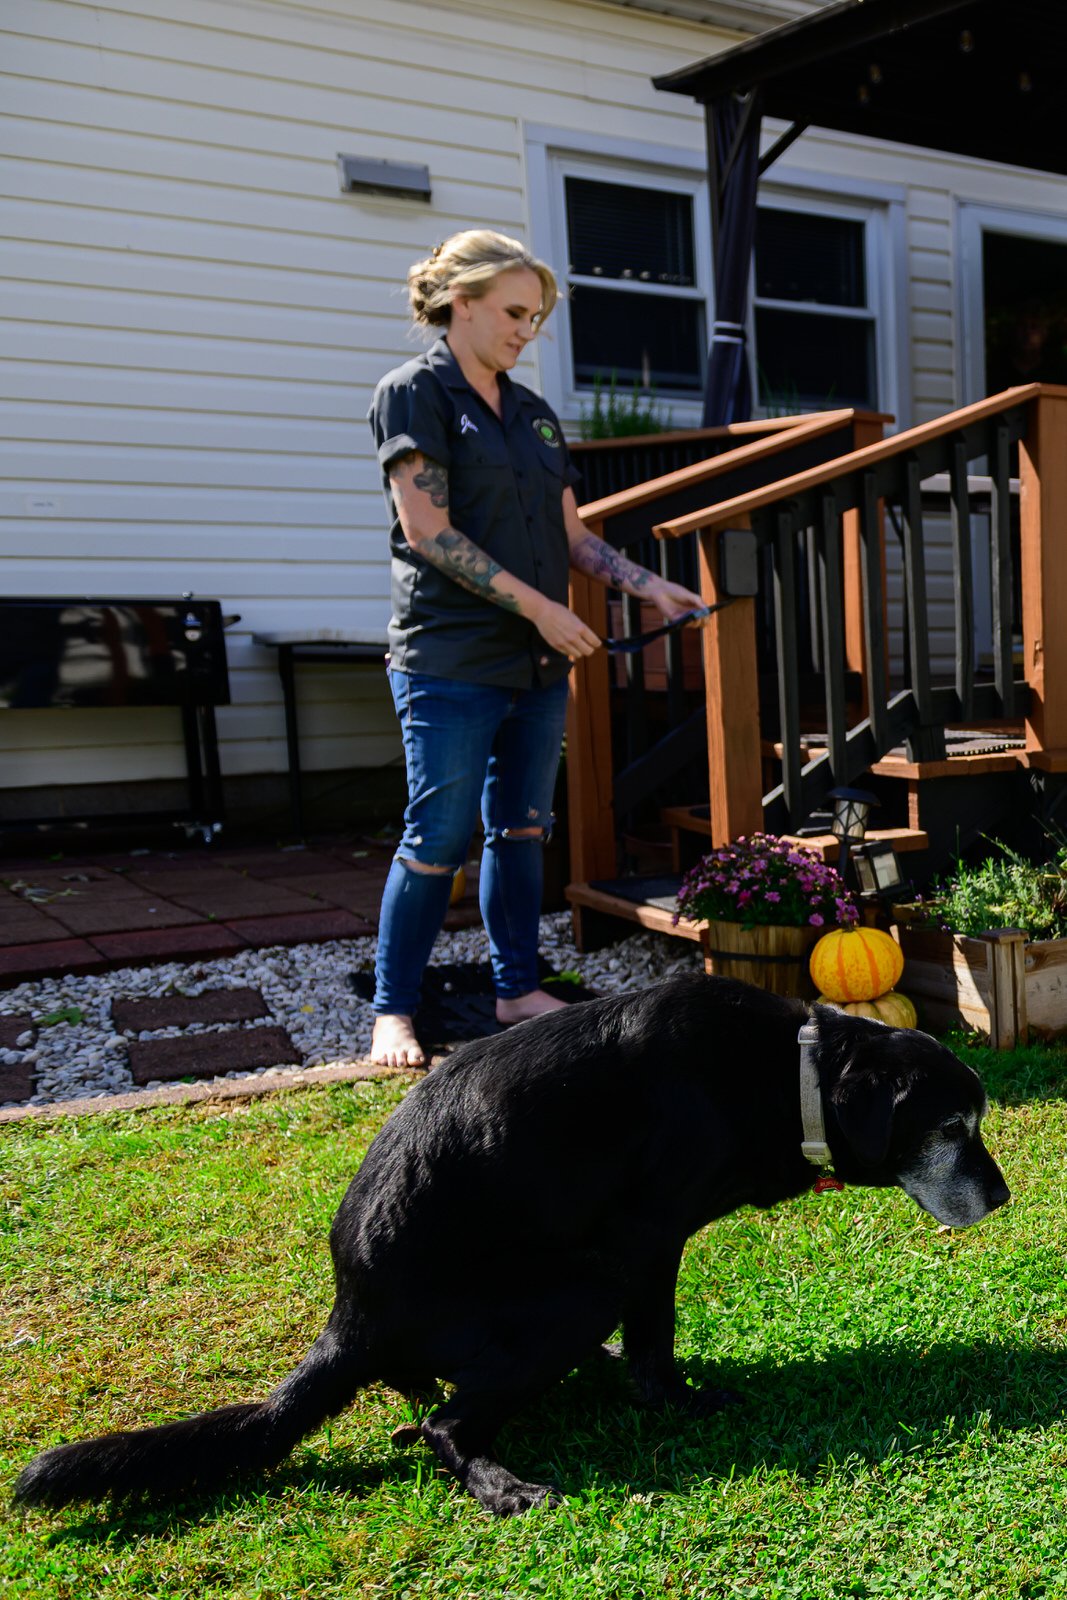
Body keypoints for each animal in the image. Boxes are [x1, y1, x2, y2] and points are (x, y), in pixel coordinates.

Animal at [16, 966, 1011, 1516]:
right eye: (952, 1127)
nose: (1003, 1198)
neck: (785, 1073)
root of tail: (350, 1321)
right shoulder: (646, 1240)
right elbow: (657, 1343)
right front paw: (675, 1401)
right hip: (578, 1289)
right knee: (442, 1426)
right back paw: (502, 1482)